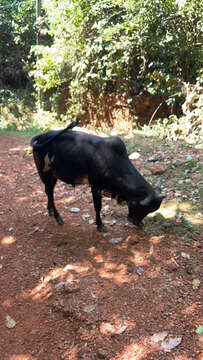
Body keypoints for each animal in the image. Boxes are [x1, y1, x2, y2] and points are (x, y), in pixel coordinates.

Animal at [30, 121, 165, 232]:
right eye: (145, 208)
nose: (137, 222)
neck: (115, 163)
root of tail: (41, 136)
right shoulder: (95, 186)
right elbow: (98, 206)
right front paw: (100, 225)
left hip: (53, 176)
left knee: (48, 192)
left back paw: (50, 210)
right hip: (44, 173)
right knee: (50, 193)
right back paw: (58, 217)